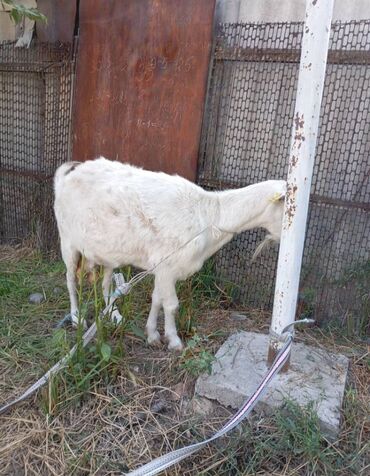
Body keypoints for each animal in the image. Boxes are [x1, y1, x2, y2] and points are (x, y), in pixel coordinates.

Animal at [53, 158, 284, 352]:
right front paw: (174, 340)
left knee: (104, 285)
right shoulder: (167, 266)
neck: (211, 216)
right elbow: (171, 305)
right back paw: (77, 318)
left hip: (106, 252)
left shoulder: (162, 268)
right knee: (70, 280)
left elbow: (157, 299)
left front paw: (152, 334)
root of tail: (65, 177)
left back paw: (115, 316)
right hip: (68, 240)